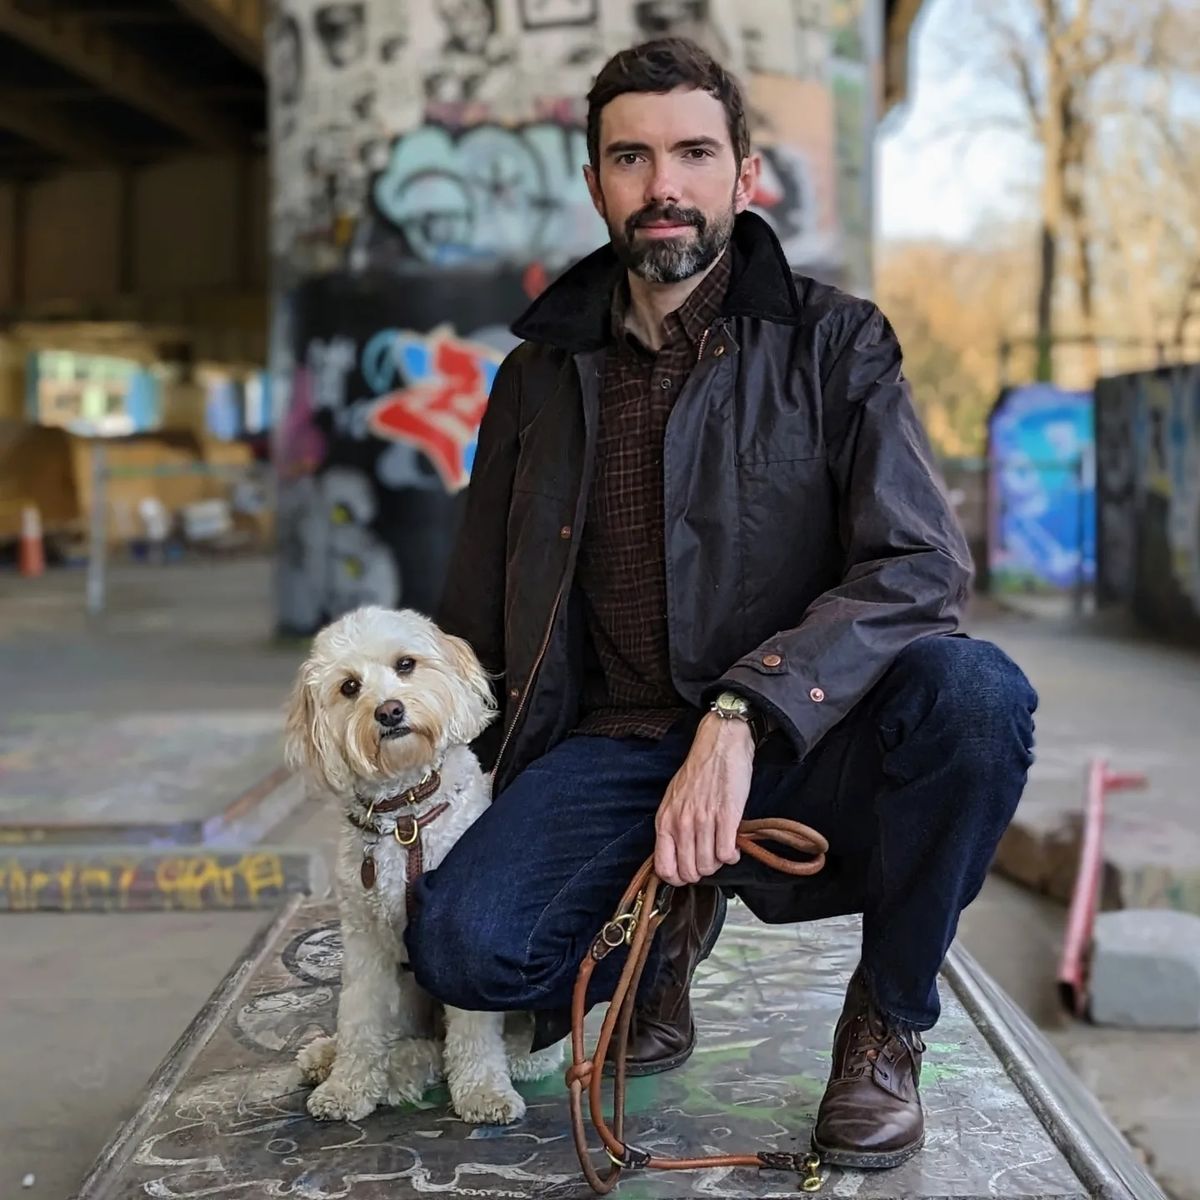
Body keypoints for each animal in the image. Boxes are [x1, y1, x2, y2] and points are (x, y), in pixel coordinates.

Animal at [285, 609, 561, 1123]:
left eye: (406, 664)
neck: (406, 816)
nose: (389, 711)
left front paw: (482, 1092)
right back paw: (330, 1056)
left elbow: (473, 1032)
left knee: (481, 1050)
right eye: (349, 687)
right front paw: (347, 1086)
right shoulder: (364, 940)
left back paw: (406, 1070)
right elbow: (359, 1018)